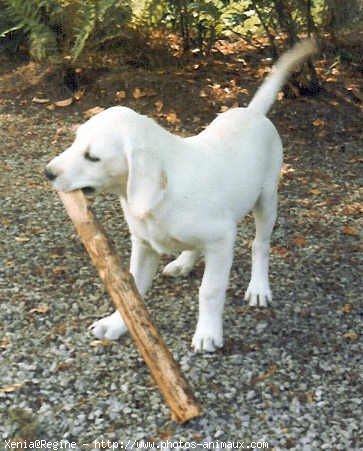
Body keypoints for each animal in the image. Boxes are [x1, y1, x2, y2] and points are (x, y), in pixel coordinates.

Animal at [47, 40, 318, 354]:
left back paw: (259, 287)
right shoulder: (143, 244)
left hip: (267, 199)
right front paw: (117, 323)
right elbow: (132, 289)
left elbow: (209, 290)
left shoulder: (222, 240)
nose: (48, 172)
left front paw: (208, 333)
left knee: (260, 245)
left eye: (92, 157)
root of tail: (253, 113)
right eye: (75, 141)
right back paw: (183, 262)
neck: (159, 199)